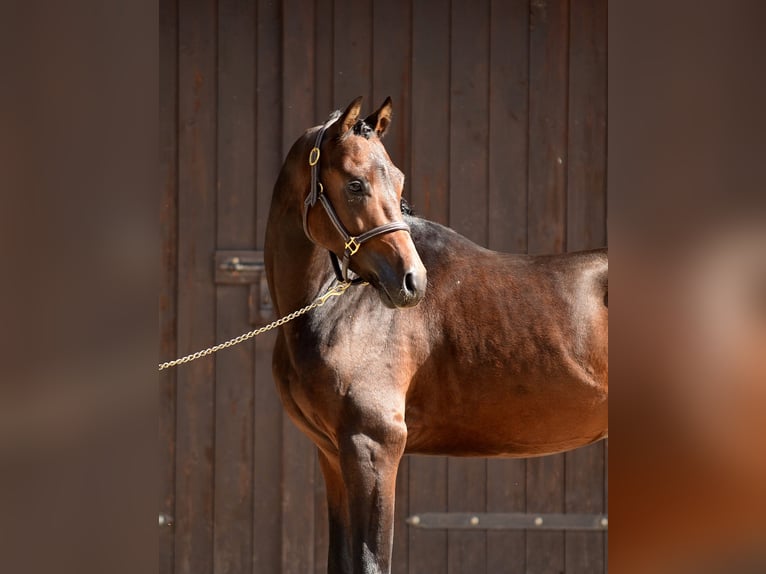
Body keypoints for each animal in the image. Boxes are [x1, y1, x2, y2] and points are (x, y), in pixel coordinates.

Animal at [264, 96, 608, 574]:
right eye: (355, 184)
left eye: (399, 180)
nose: (412, 281)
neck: (334, 305)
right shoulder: (333, 454)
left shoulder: (374, 447)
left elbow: (371, 561)